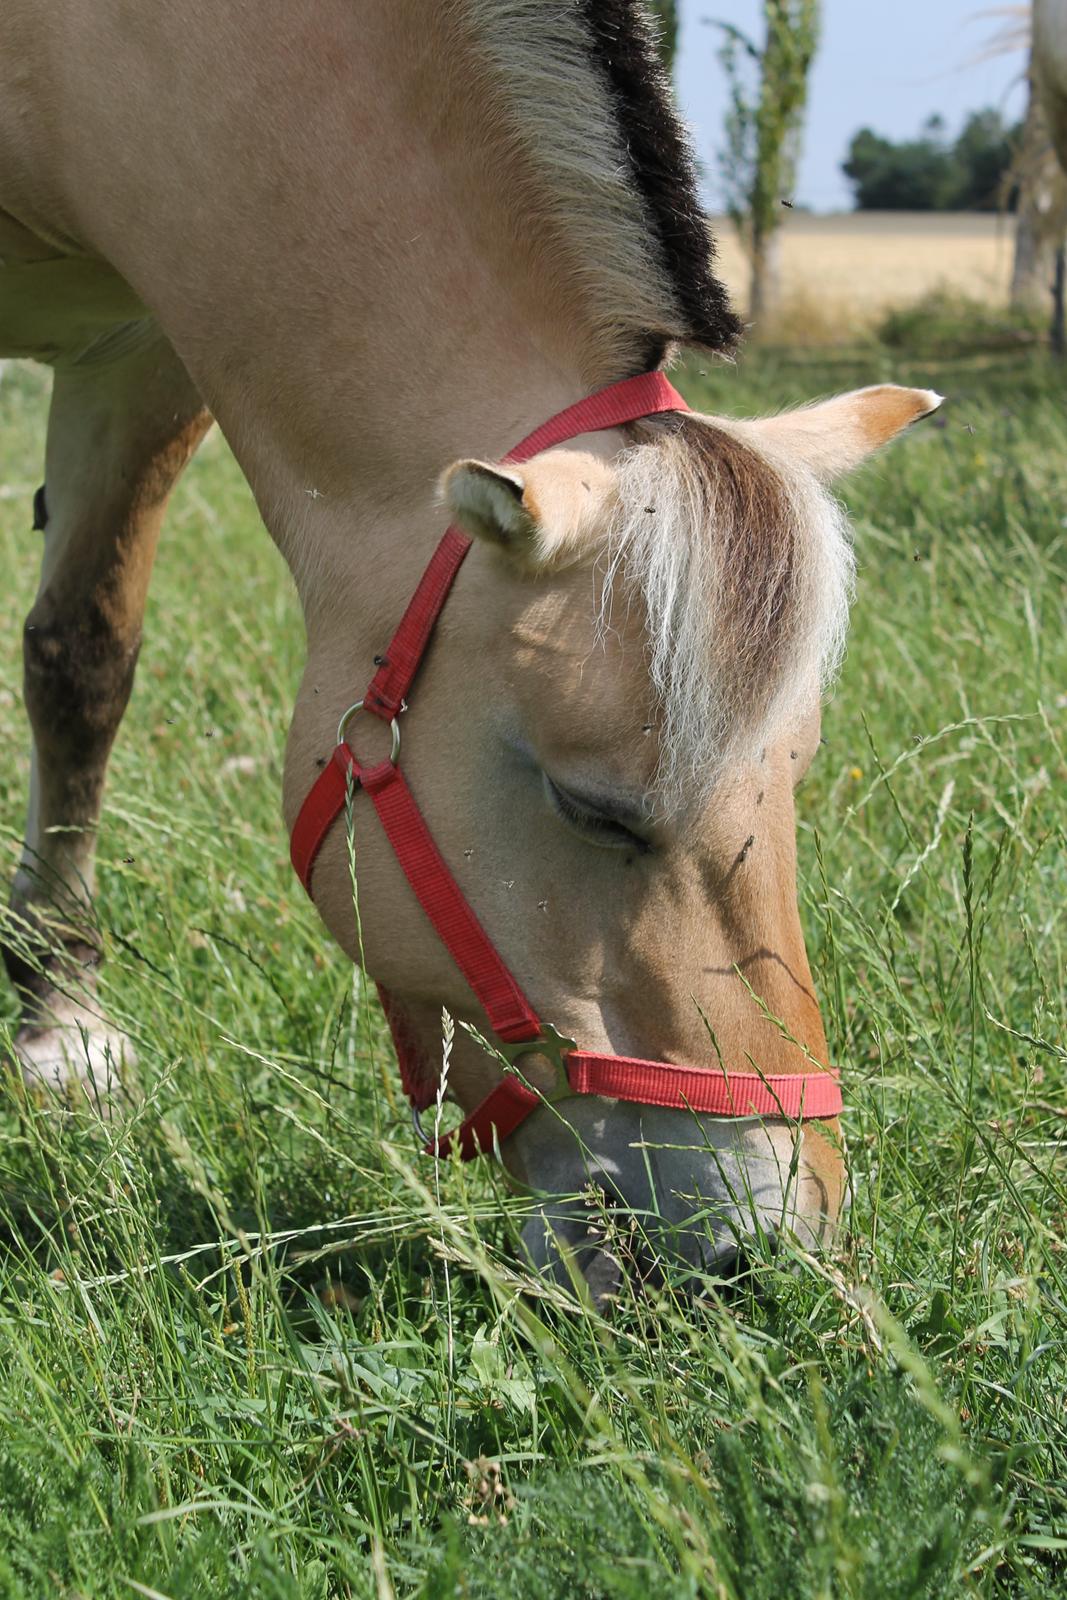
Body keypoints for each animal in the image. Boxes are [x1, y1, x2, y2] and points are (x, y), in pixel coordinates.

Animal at [0, 0, 934, 1292]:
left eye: (792, 778)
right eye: (591, 807)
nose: (766, 1242)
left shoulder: (140, 344)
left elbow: (82, 660)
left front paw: (60, 1023)